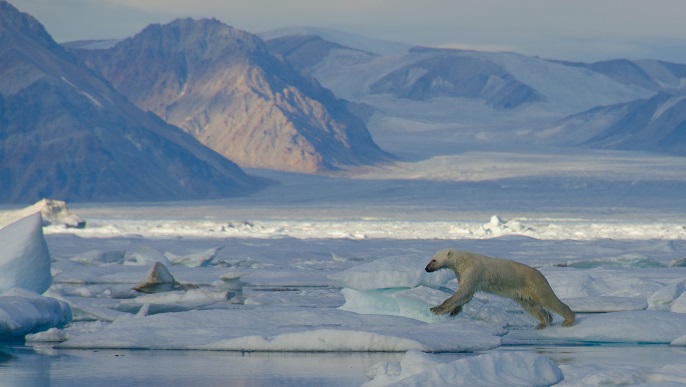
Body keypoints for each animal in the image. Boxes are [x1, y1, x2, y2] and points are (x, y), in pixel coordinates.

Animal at [424, 250, 576, 328]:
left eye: (433, 260)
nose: (426, 269)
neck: (463, 260)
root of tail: (540, 274)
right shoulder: (461, 273)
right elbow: (466, 295)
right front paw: (455, 311)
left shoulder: (473, 271)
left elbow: (464, 292)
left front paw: (436, 309)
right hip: (522, 293)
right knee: (532, 306)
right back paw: (545, 322)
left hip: (534, 284)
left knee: (548, 299)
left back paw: (568, 320)